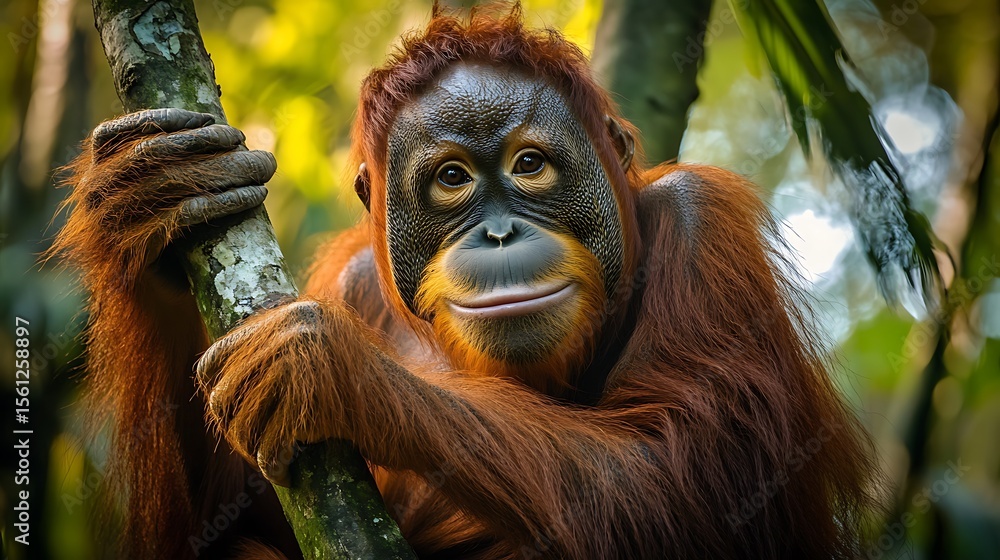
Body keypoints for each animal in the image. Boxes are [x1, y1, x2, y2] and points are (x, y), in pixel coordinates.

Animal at [52, 6, 876, 559]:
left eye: (529, 165)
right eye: (452, 179)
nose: (499, 233)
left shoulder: (704, 228)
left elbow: (686, 481)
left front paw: (327, 365)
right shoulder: (358, 279)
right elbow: (219, 530)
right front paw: (145, 205)